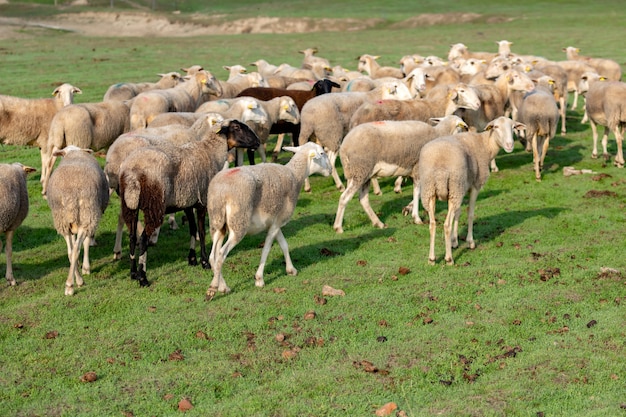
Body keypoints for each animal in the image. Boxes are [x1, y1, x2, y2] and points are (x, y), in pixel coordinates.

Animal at [45, 145, 109, 294]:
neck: (73, 152)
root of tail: (71, 193)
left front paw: (79, 266)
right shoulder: (89, 219)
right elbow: (86, 243)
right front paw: (86, 268)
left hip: (63, 220)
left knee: (70, 251)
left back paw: (75, 279)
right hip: (87, 215)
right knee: (75, 250)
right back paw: (73, 284)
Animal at [117, 118, 258, 284]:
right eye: (236, 127)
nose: (257, 141)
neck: (211, 152)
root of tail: (132, 172)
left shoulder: (188, 202)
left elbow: (192, 229)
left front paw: (192, 259)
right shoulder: (202, 201)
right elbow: (202, 232)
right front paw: (204, 262)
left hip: (129, 206)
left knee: (132, 237)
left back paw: (133, 273)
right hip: (154, 205)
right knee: (143, 239)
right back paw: (142, 277)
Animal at [205, 141, 332, 298]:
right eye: (322, 153)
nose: (331, 169)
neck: (295, 175)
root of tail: (221, 192)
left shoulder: (274, 222)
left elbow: (284, 245)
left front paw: (291, 270)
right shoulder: (277, 222)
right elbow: (266, 250)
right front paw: (259, 279)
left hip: (217, 222)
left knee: (213, 256)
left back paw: (223, 287)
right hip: (238, 223)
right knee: (221, 253)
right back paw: (213, 287)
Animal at [334, 114, 466, 234]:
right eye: (461, 127)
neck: (438, 133)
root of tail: (344, 147)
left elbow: (418, 193)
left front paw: (408, 208)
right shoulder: (418, 168)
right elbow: (417, 192)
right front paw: (416, 217)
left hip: (363, 174)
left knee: (363, 199)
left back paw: (378, 223)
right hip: (360, 170)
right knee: (344, 197)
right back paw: (338, 227)